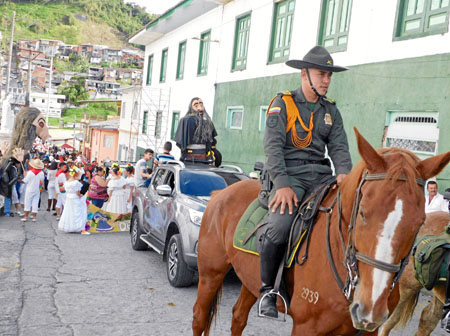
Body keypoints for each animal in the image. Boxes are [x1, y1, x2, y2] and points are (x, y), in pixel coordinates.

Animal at [192, 129, 450, 336]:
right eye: (363, 213)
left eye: (420, 222)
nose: (370, 308)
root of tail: (220, 193)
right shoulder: (308, 328)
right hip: (211, 273)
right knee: (199, 317)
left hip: (250, 279)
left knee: (238, 317)